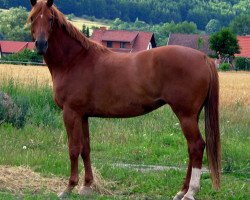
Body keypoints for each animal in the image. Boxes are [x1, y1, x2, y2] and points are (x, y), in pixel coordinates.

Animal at [27, 0, 221, 199]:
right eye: (32, 18)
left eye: (50, 19)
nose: (40, 44)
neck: (74, 60)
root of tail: (203, 58)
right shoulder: (83, 115)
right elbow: (85, 149)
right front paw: (87, 185)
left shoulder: (70, 113)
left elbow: (73, 149)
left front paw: (69, 187)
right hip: (192, 115)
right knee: (191, 148)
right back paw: (181, 191)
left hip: (186, 115)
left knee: (196, 146)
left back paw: (190, 192)